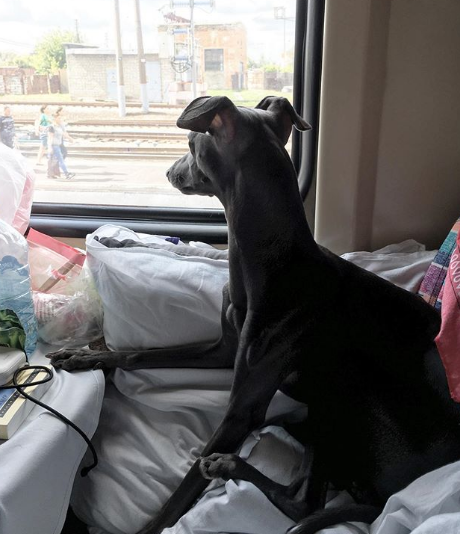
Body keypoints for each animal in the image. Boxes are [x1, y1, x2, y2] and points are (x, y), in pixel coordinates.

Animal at [49, 97, 460, 534]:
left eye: (192, 144)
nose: (169, 171)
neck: (273, 265)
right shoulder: (224, 350)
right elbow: (140, 353)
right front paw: (84, 356)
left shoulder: (241, 410)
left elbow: (186, 486)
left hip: (348, 391)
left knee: (303, 502)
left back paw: (228, 464)